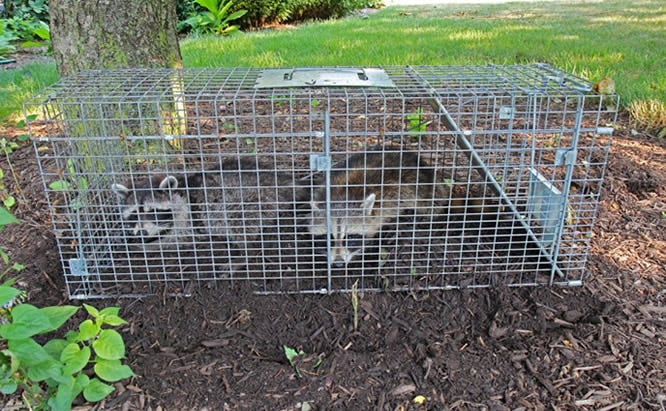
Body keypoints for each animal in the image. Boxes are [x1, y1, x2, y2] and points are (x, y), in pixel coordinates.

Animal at [308, 149, 448, 268]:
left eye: (350, 238)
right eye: (327, 239)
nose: (339, 263)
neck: (341, 197)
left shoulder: (392, 197)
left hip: (421, 185)